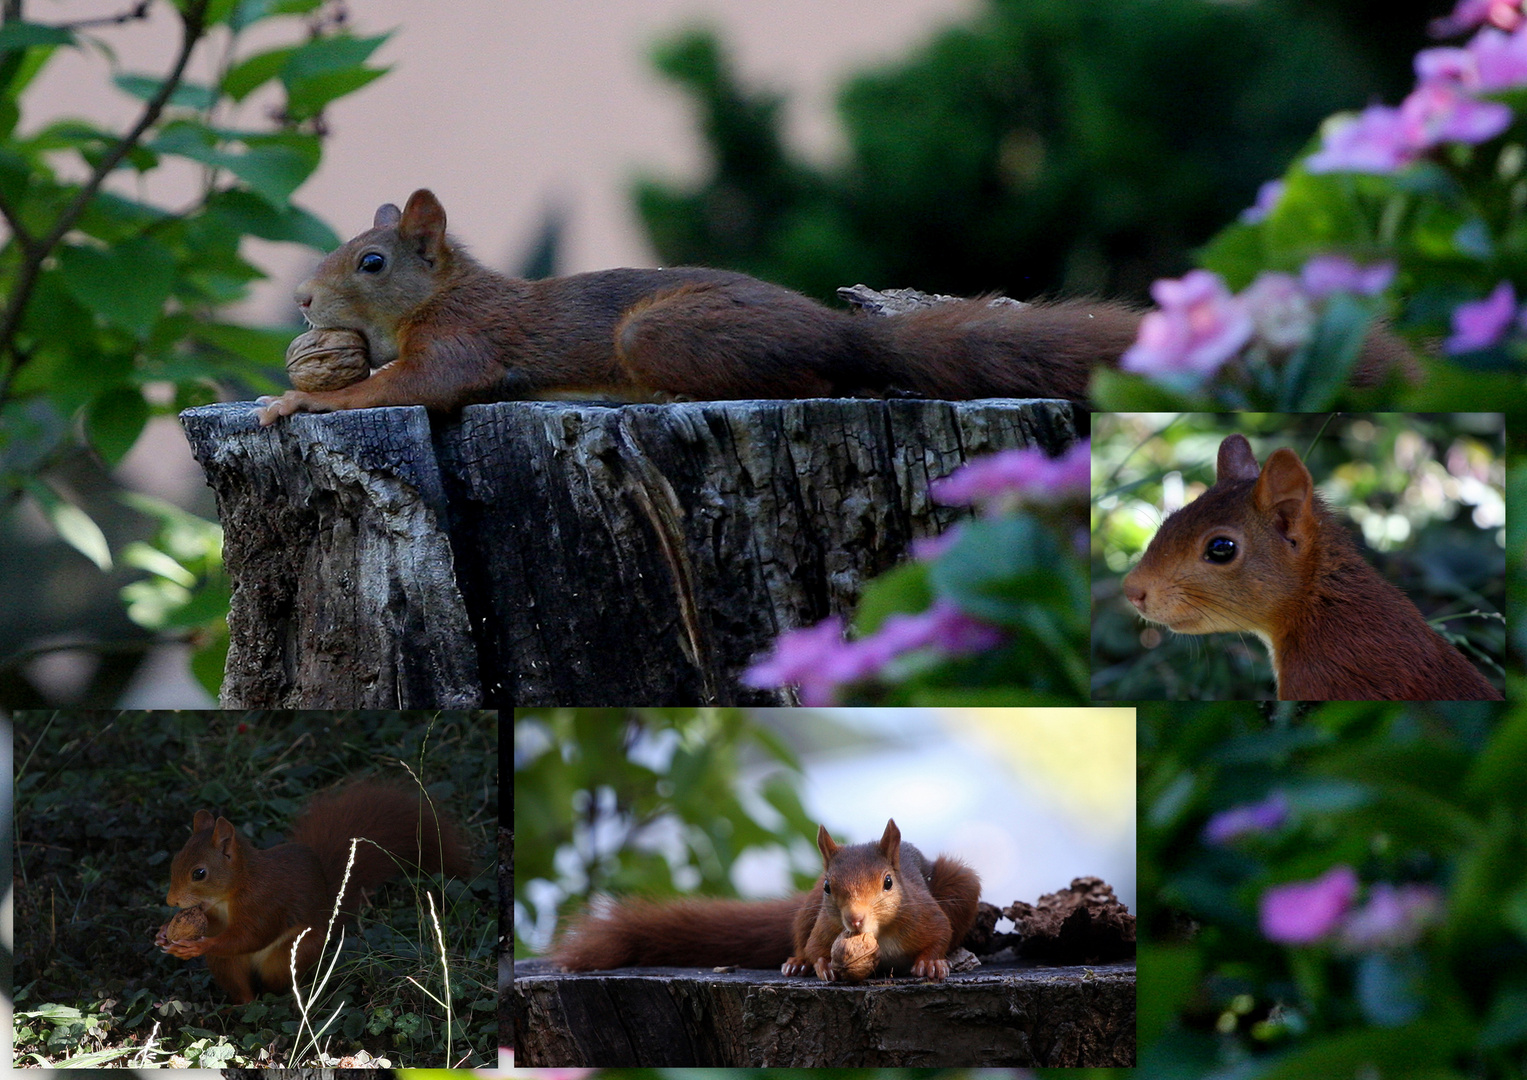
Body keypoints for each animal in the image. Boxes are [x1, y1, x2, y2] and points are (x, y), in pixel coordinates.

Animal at [157, 776, 470, 1008]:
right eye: (175, 861)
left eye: (199, 873)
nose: (171, 900)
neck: (234, 888)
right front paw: (163, 932)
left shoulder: (264, 902)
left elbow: (252, 935)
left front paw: (199, 946)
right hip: (227, 965)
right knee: (242, 987)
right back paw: (240, 1004)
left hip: (289, 956)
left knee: (277, 983)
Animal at [549, 824, 977, 983]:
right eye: (828, 887)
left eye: (888, 883)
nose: (854, 920)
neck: (877, 936)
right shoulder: (824, 923)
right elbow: (818, 945)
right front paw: (820, 964)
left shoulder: (923, 914)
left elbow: (939, 933)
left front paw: (932, 963)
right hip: (805, 912)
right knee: (800, 937)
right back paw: (796, 962)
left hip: (963, 884)